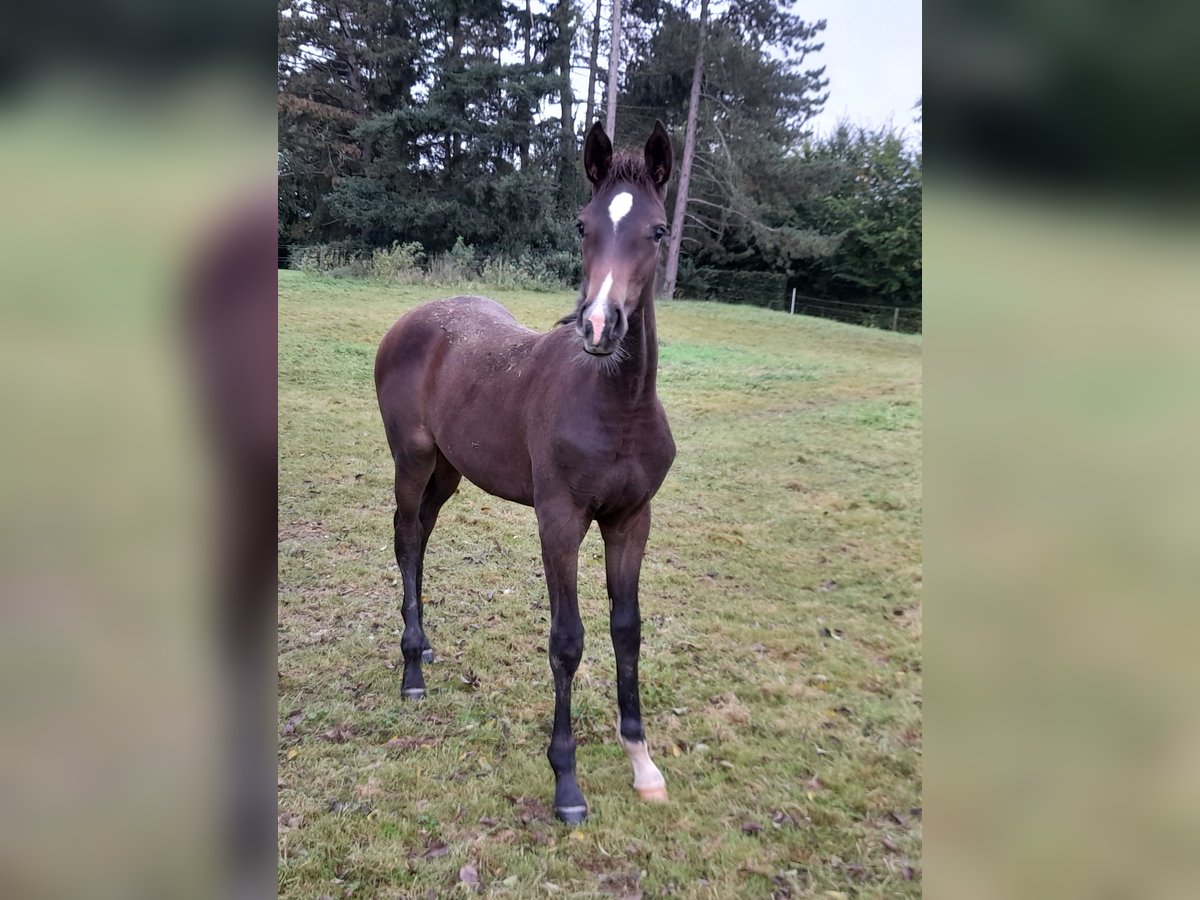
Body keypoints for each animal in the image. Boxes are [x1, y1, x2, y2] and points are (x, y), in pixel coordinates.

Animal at [374, 123, 676, 830]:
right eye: (583, 224)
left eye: (656, 230)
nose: (599, 325)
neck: (616, 404)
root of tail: (410, 321)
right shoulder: (559, 518)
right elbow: (567, 640)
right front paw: (566, 782)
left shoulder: (631, 519)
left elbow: (628, 629)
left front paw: (642, 762)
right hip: (412, 460)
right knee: (406, 539)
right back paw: (411, 670)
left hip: (450, 471)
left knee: (421, 537)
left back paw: (425, 648)